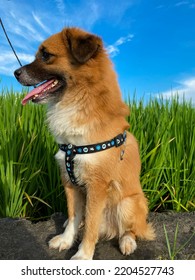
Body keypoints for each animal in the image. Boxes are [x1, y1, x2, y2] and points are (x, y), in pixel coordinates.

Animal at [14, 27, 155, 260]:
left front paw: (83, 255)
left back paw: (127, 242)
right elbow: (74, 216)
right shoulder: (69, 181)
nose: (15, 73)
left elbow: (90, 224)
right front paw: (66, 240)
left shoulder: (97, 185)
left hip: (128, 203)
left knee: (131, 229)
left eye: (46, 55)